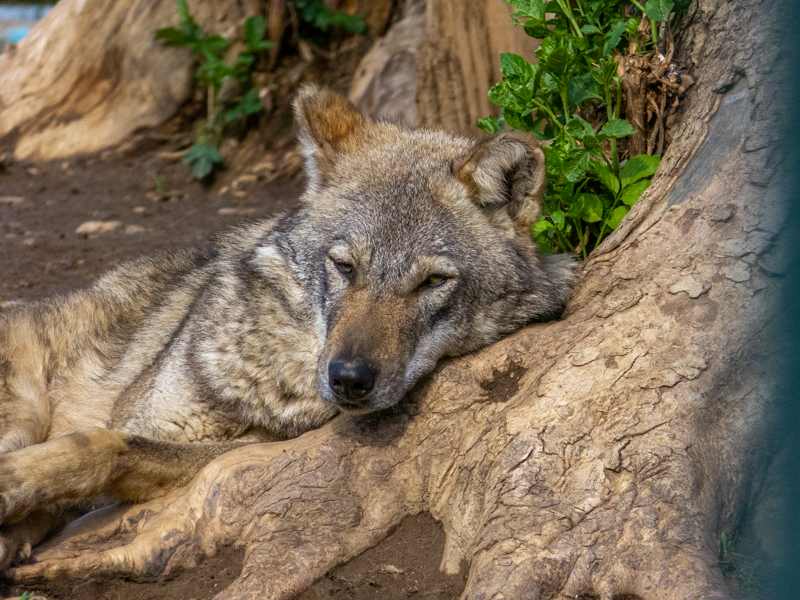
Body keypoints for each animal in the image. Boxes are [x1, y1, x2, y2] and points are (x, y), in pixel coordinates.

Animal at [0, 85, 573, 568]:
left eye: (433, 281)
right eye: (344, 266)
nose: (348, 379)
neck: (275, 373)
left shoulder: (237, 454)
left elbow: (106, 448)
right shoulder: (148, 420)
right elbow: (99, 444)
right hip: (24, 409)